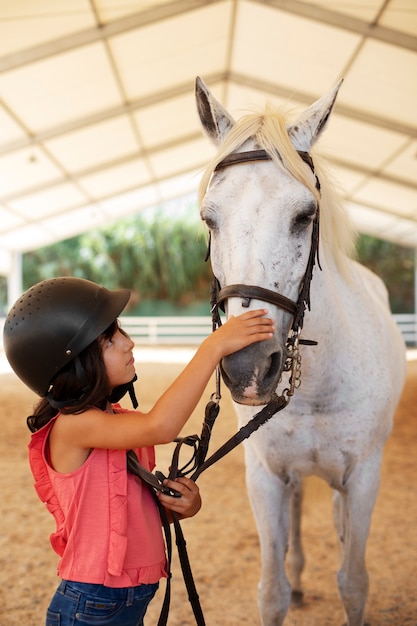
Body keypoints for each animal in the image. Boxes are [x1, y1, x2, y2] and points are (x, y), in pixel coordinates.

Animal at [195, 78, 406, 624]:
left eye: (304, 215)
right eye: (209, 219)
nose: (248, 368)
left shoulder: (364, 478)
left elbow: (353, 582)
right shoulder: (265, 478)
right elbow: (272, 591)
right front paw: (288, 585)